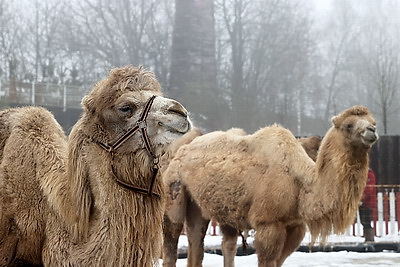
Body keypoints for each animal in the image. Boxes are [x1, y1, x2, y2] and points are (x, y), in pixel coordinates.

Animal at [162, 107, 378, 267]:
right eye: (348, 125)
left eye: (373, 121)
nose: (372, 131)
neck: (301, 183)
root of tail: (181, 149)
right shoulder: (268, 223)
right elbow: (267, 259)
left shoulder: (294, 226)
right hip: (173, 188)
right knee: (171, 242)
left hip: (205, 206)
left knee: (205, 242)